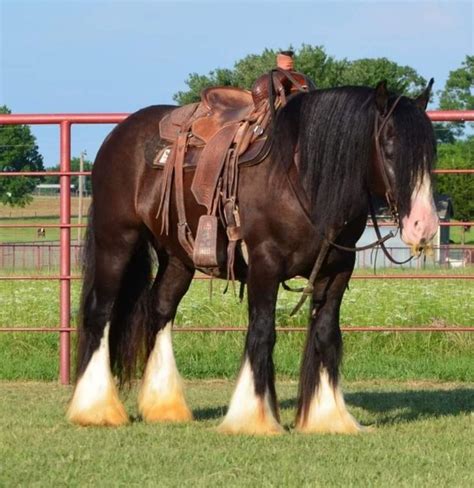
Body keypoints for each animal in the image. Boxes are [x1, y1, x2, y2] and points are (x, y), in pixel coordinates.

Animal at [68, 81, 438, 434]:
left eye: (430, 152)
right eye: (389, 146)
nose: (424, 225)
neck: (300, 175)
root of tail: (117, 135)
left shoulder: (336, 271)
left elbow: (326, 334)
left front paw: (328, 417)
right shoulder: (265, 265)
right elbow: (262, 332)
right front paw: (254, 418)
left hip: (177, 257)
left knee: (160, 310)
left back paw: (164, 407)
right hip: (116, 241)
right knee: (100, 312)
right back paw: (95, 409)